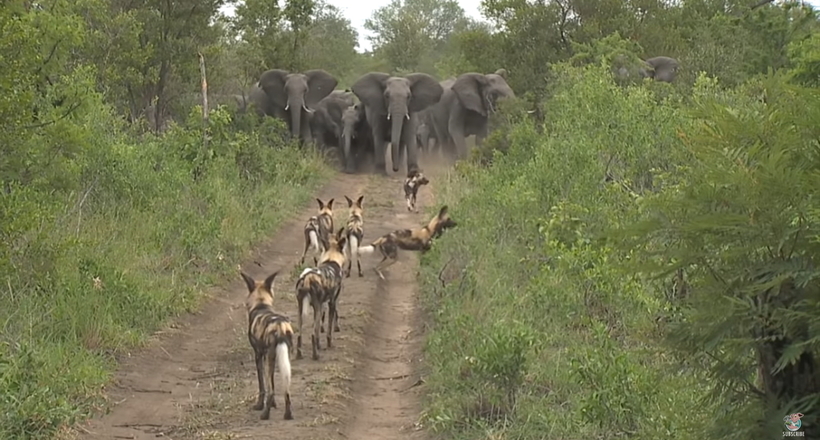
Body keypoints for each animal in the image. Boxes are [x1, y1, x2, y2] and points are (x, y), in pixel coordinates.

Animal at [237, 272, 294, 420]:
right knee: (286, 390)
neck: (261, 304)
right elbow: (271, 384)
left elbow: (263, 386)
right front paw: (273, 404)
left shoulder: (259, 355)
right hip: (284, 358)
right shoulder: (272, 357)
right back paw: (288, 414)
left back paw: (265, 414)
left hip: (269, 357)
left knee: (272, 390)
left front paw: (259, 405)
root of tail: (280, 326)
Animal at [294, 227, 346, 360]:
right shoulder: (332, 302)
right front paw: (329, 344)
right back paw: (315, 356)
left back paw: (299, 355)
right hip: (316, 308)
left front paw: (319, 345)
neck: (331, 259)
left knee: (299, 335)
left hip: (300, 310)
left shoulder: (322, 305)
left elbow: (318, 331)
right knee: (312, 334)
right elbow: (328, 329)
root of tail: (306, 278)